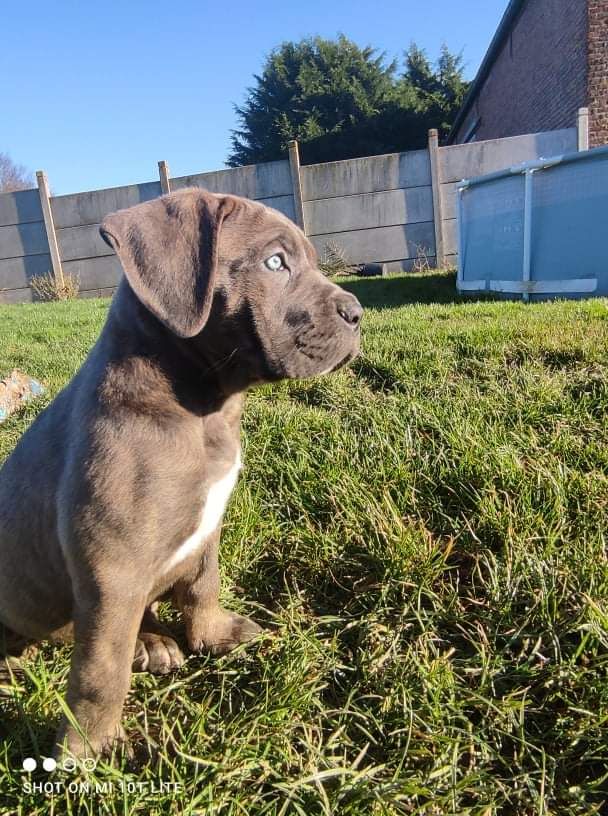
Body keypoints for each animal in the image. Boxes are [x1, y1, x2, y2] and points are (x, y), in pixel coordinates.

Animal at [0, 190, 360, 760]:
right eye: (274, 263)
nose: (356, 313)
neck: (205, 409)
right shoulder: (111, 564)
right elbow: (101, 667)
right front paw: (88, 749)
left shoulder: (206, 526)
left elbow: (202, 586)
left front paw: (212, 635)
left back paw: (151, 643)